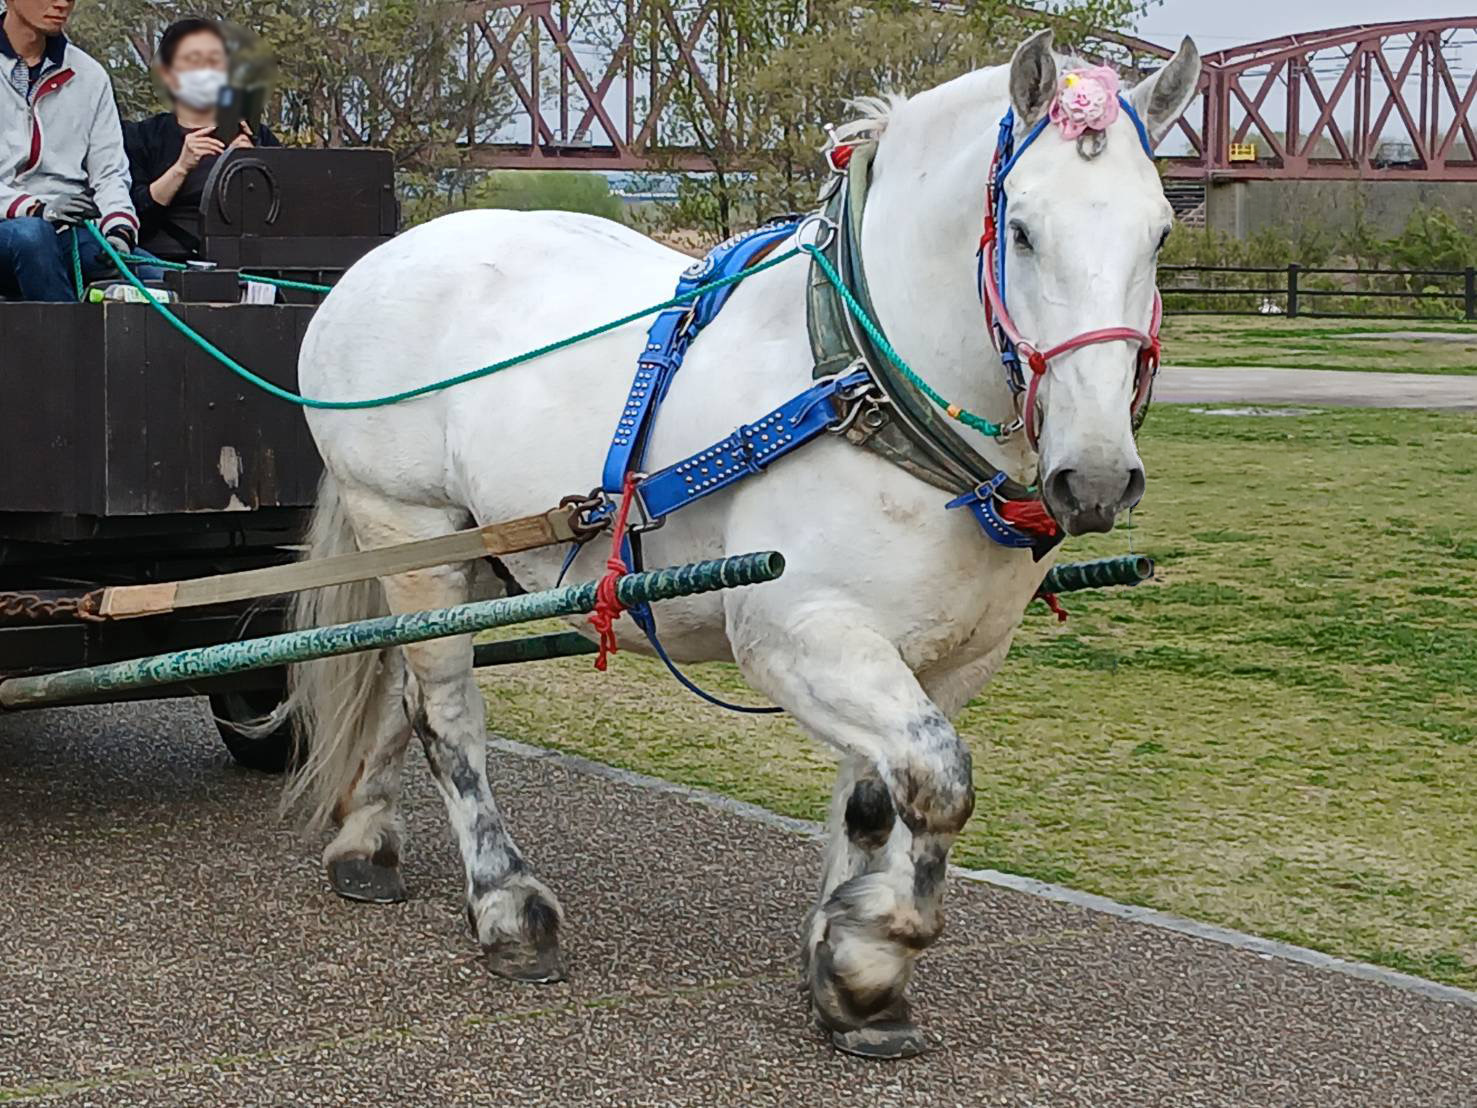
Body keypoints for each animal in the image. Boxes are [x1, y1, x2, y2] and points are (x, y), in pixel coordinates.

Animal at [285, 28, 1201, 1058]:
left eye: (1159, 234)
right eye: (1025, 231)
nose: (1096, 479)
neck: (865, 383)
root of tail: (380, 259)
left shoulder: (951, 656)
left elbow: (880, 799)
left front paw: (847, 969)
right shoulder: (796, 634)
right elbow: (938, 780)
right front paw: (874, 949)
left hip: (473, 550)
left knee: (394, 685)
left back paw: (365, 839)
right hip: (409, 524)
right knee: (447, 715)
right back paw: (506, 905)